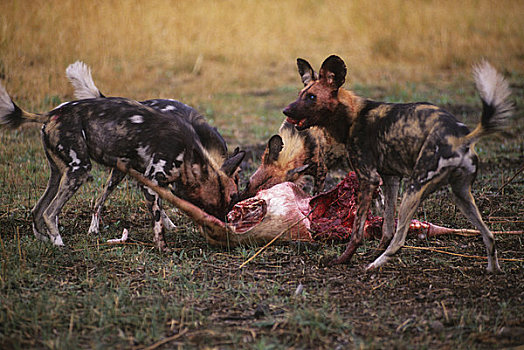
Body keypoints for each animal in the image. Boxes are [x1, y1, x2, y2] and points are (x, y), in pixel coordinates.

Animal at [0, 82, 246, 252]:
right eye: (229, 197)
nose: (225, 228)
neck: (190, 154)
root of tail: (52, 113)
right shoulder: (151, 180)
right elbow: (158, 222)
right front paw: (163, 248)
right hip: (81, 169)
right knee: (51, 211)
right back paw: (60, 243)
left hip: (64, 172)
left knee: (38, 209)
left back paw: (46, 239)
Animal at [284, 55, 512, 274]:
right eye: (299, 94)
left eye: (311, 97)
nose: (286, 111)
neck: (350, 117)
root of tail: (461, 137)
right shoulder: (390, 179)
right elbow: (387, 227)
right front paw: (373, 251)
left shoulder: (368, 179)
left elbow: (357, 232)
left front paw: (344, 260)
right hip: (461, 195)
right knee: (489, 235)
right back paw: (493, 270)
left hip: (414, 189)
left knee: (400, 241)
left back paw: (373, 266)